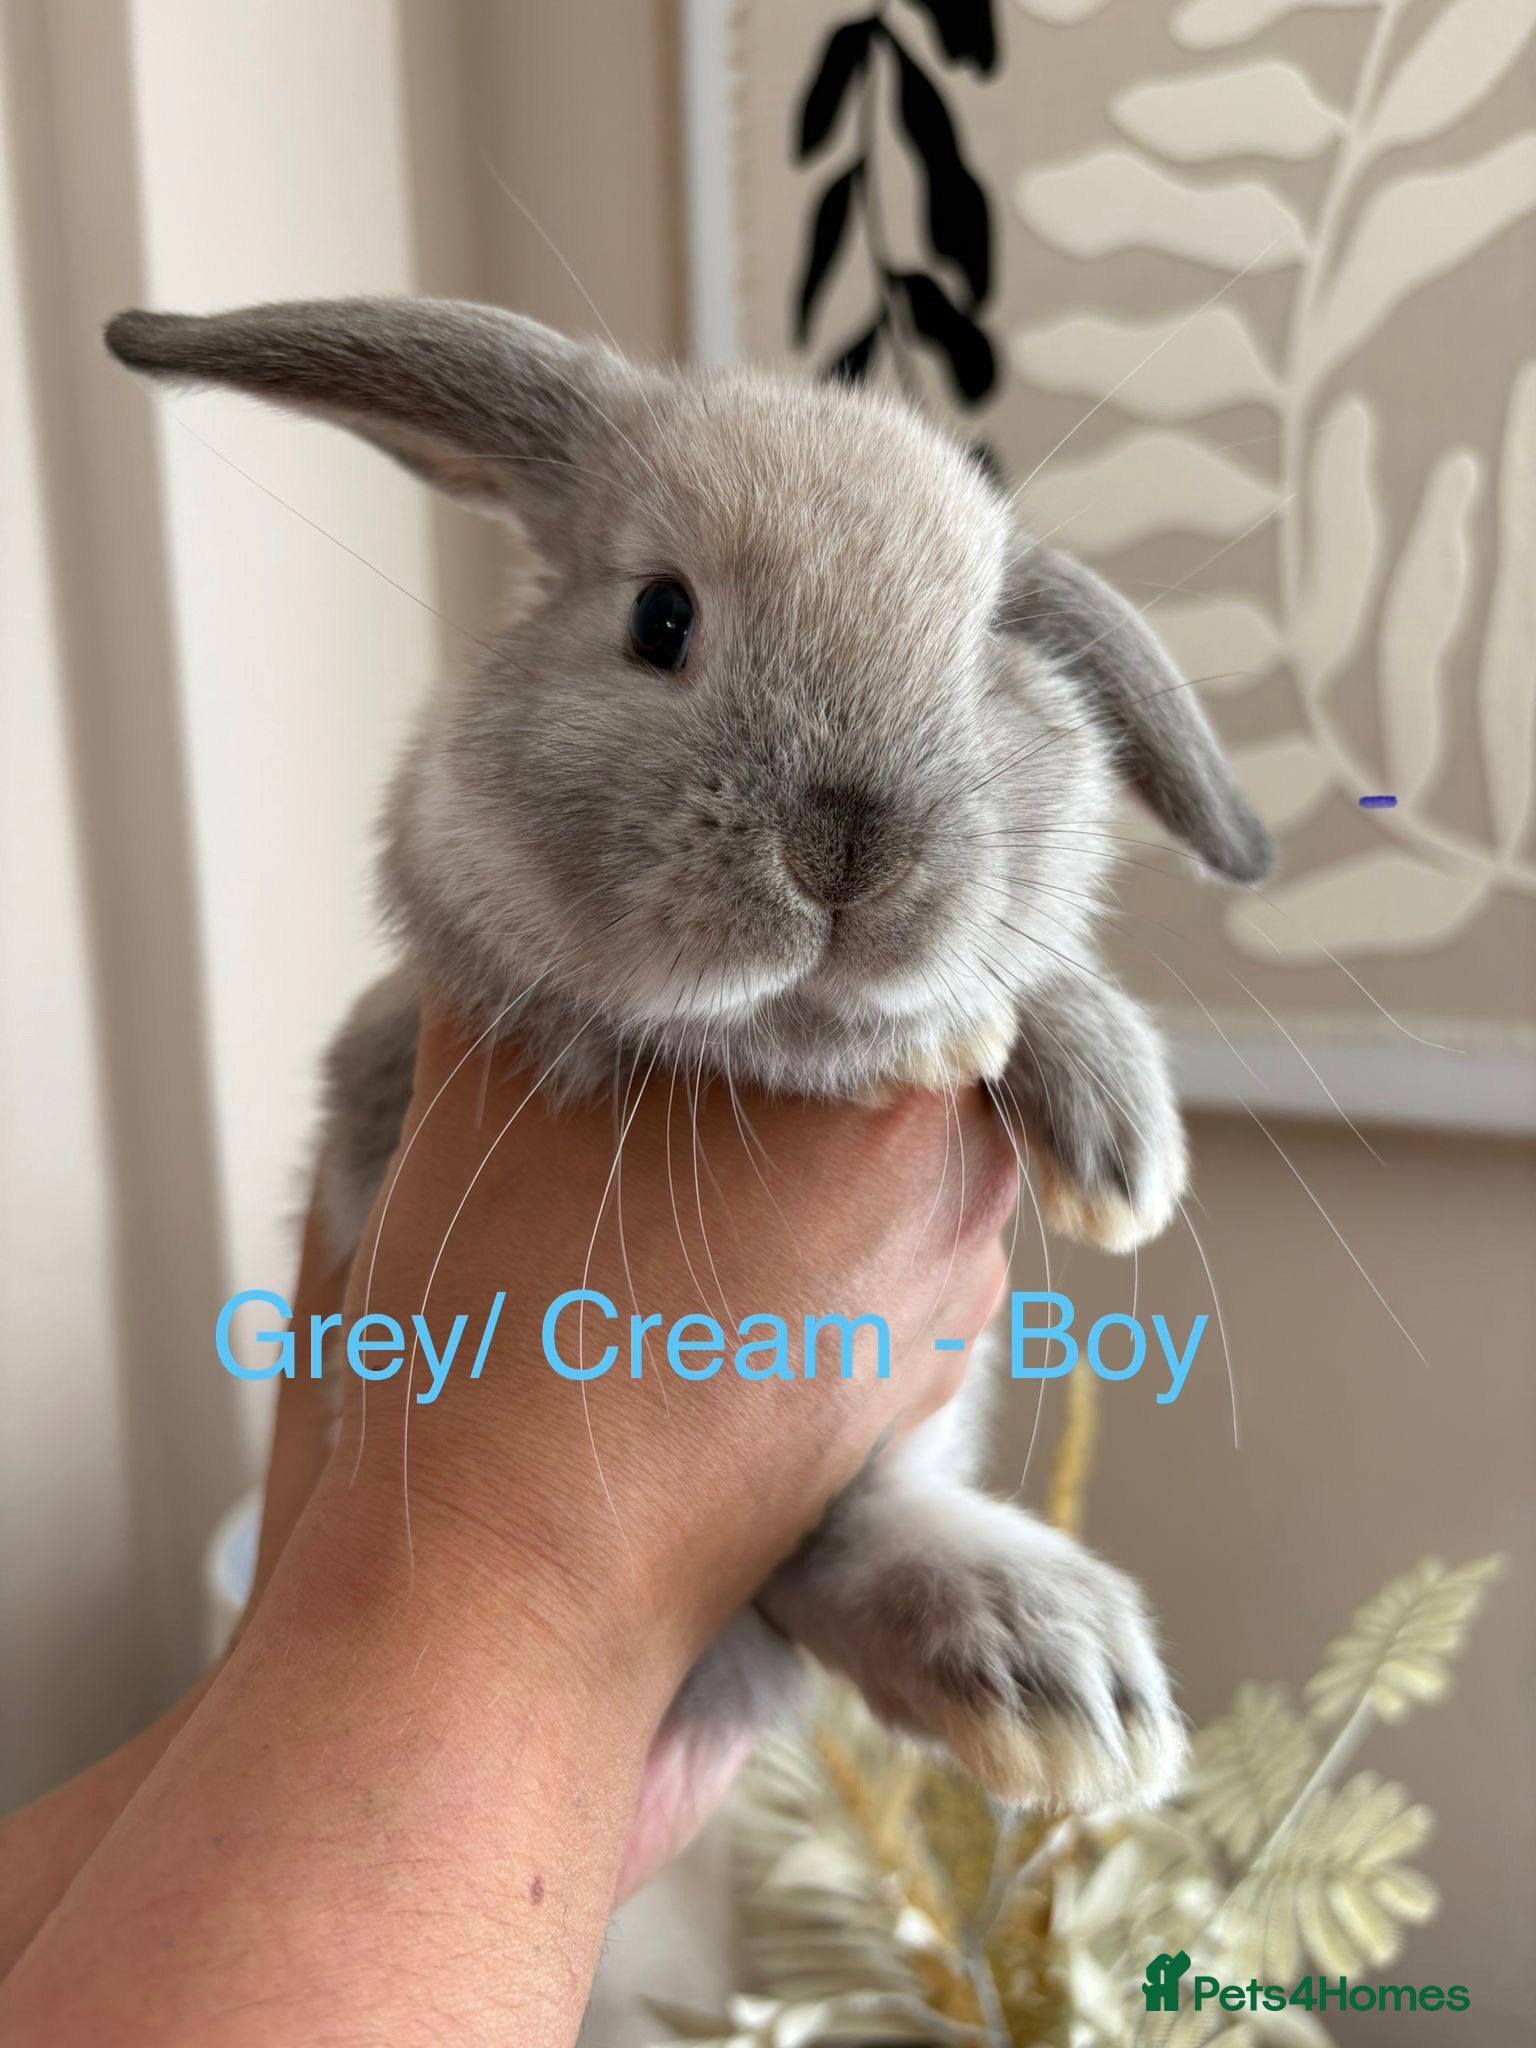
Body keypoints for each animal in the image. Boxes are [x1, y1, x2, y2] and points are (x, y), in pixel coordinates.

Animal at [106, 296, 1272, 1821]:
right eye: (661, 618)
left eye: (983, 658)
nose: (847, 845)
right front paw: (940, 1039)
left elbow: (1034, 967)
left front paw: (1117, 1139)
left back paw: (1048, 1676)